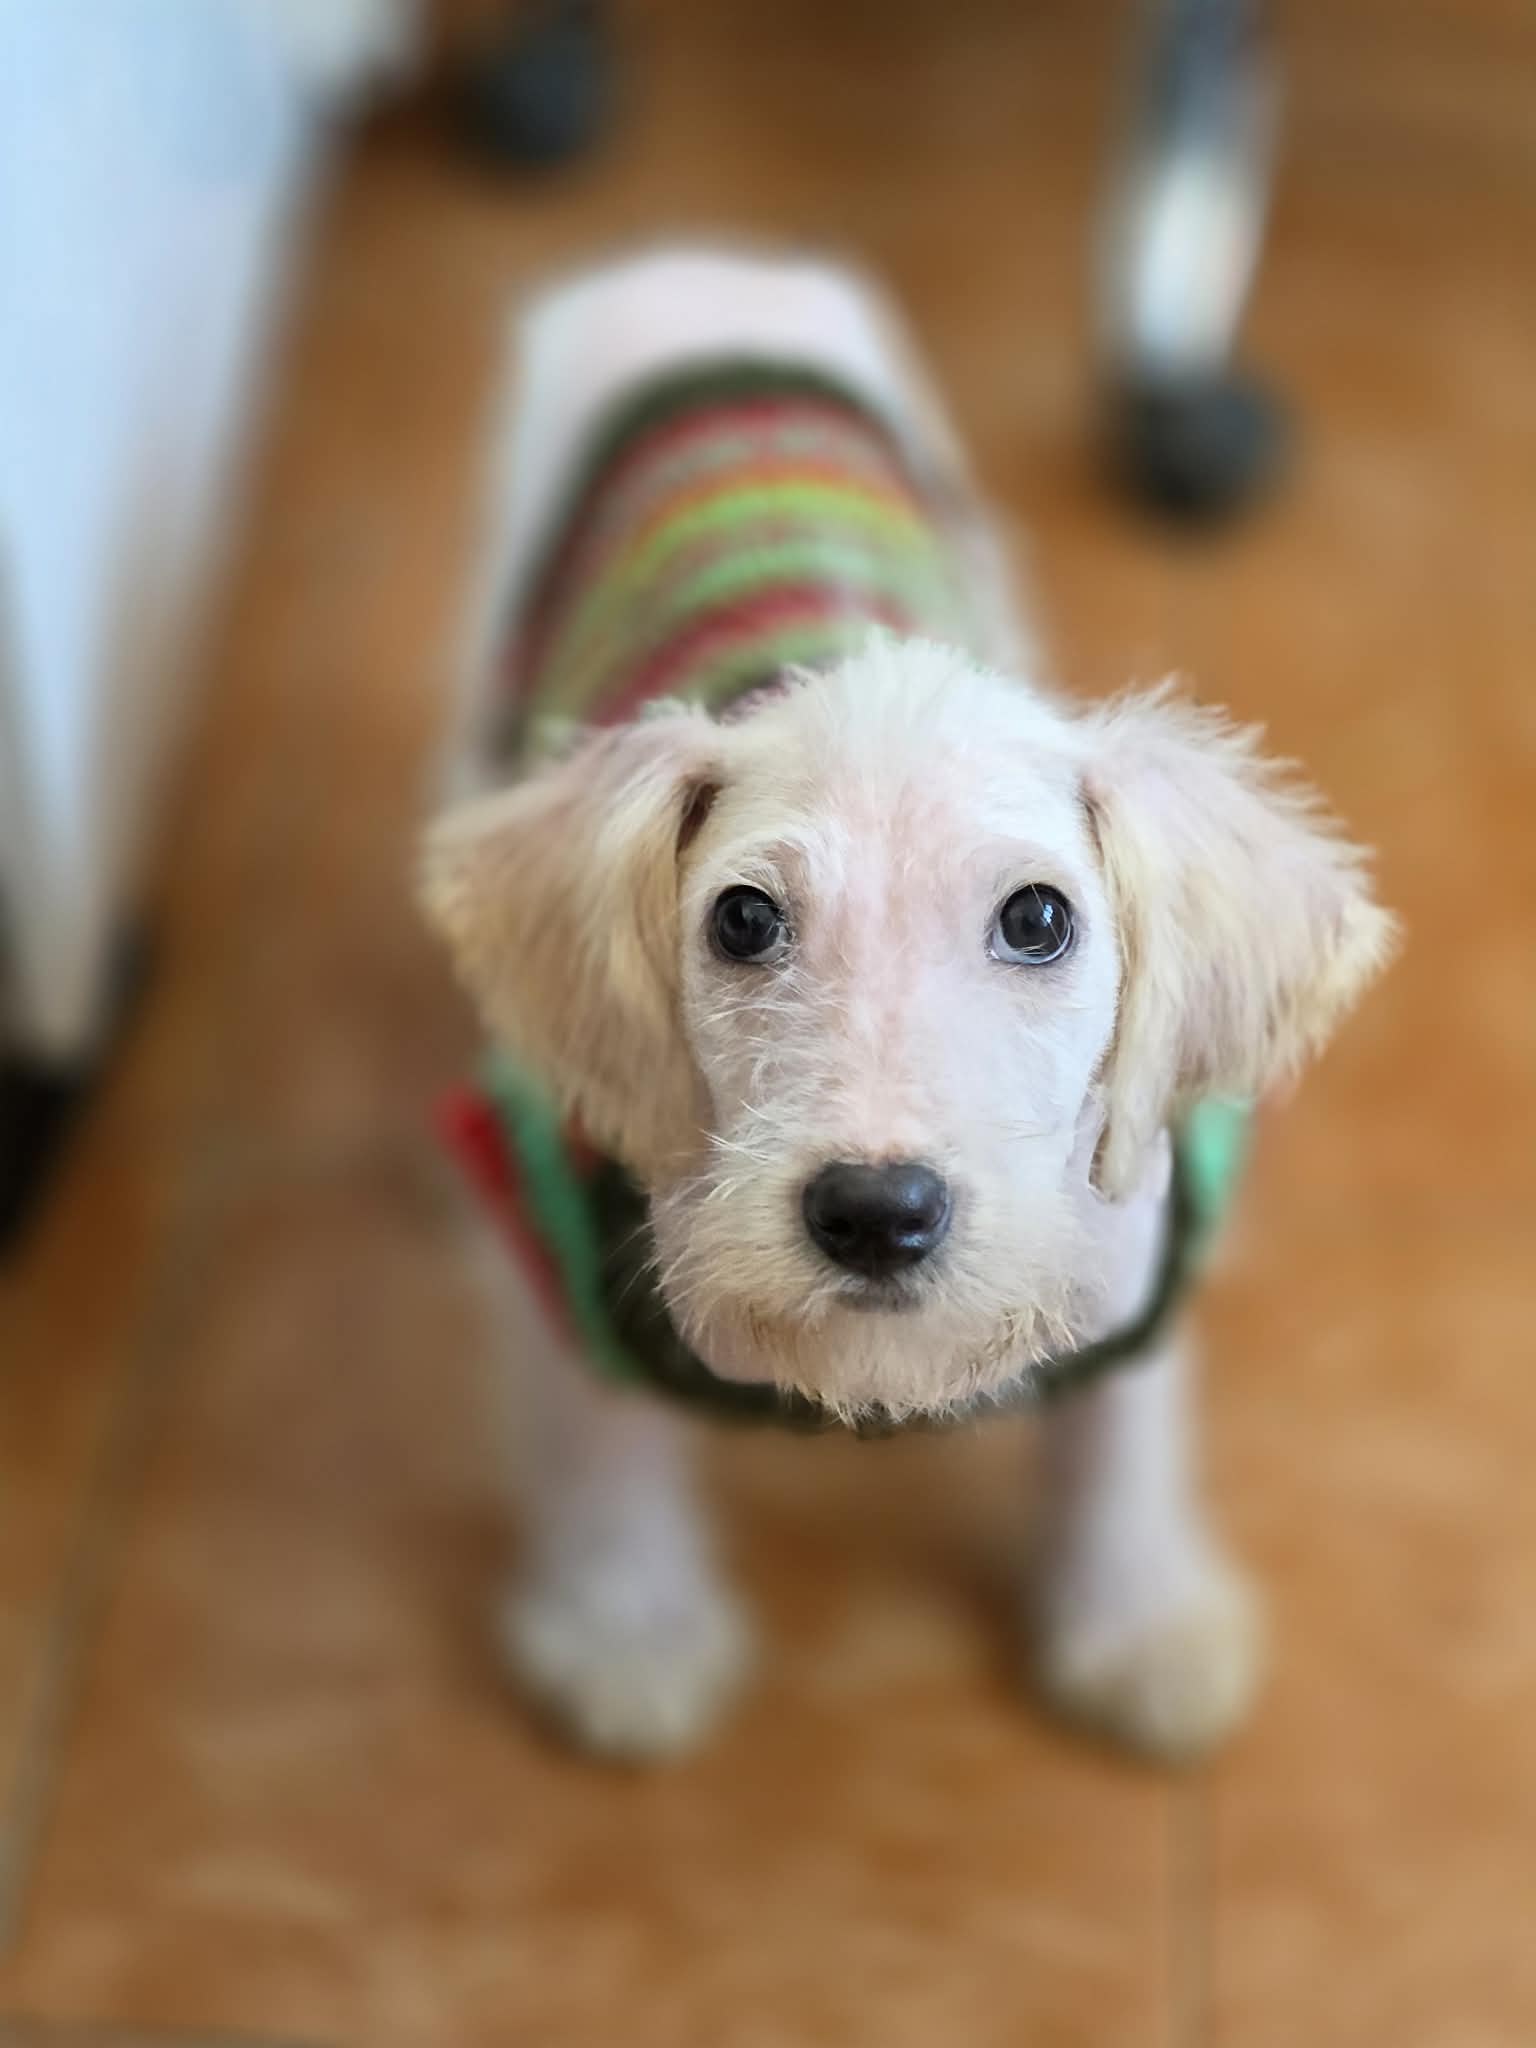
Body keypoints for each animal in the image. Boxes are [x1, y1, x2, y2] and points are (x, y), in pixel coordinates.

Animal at [420, 245, 1394, 1763]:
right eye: (742, 919)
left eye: (1040, 919)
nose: (878, 1213)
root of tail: (703, 257)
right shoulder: (552, 1215)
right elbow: (594, 1435)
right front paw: (629, 1626)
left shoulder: (1141, 1231)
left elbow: (1128, 1428)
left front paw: (1141, 1617)